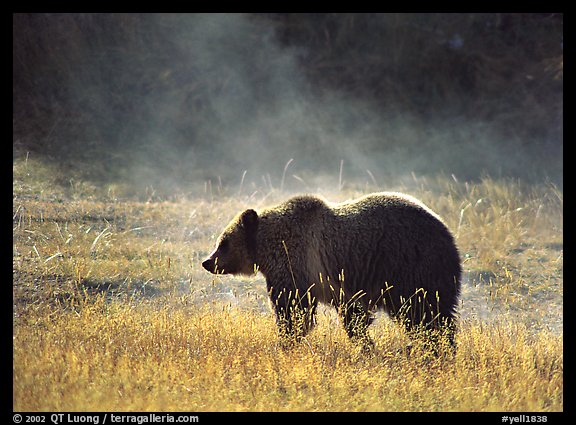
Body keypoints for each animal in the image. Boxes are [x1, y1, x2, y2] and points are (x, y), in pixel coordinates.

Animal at [204, 192, 464, 348]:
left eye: (223, 242)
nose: (207, 262)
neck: (268, 247)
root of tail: (448, 235)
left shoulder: (296, 265)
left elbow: (294, 310)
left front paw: (286, 340)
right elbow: (353, 316)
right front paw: (364, 343)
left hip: (411, 266)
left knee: (424, 312)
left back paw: (436, 348)